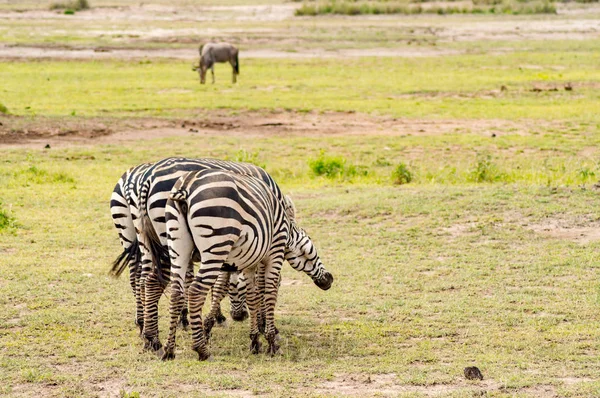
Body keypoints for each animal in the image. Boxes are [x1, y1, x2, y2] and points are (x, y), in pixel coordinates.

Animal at [136, 157, 332, 352]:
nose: (329, 280)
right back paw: (179, 343)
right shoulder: (264, 251)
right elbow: (263, 289)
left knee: (150, 281)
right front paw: (267, 330)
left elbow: (229, 288)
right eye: (309, 245)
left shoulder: (240, 256)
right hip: (208, 245)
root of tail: (148, 177)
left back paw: (153, 339)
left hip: (165, 245)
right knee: (183, 288)